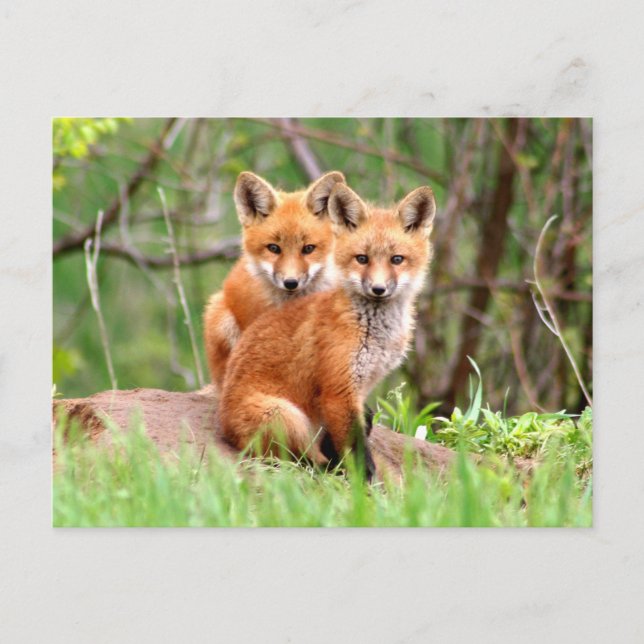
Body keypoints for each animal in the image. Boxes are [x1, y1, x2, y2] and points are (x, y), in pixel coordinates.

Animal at [219, 182, 436, 478]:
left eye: (397, 259)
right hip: (286, 417)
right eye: (362, 259)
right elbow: (358, 453)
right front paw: (364, 484)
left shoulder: (360, 388)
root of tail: (224, 427)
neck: (372, 332)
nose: (378, 289)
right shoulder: (338, 390)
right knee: (302, 462)